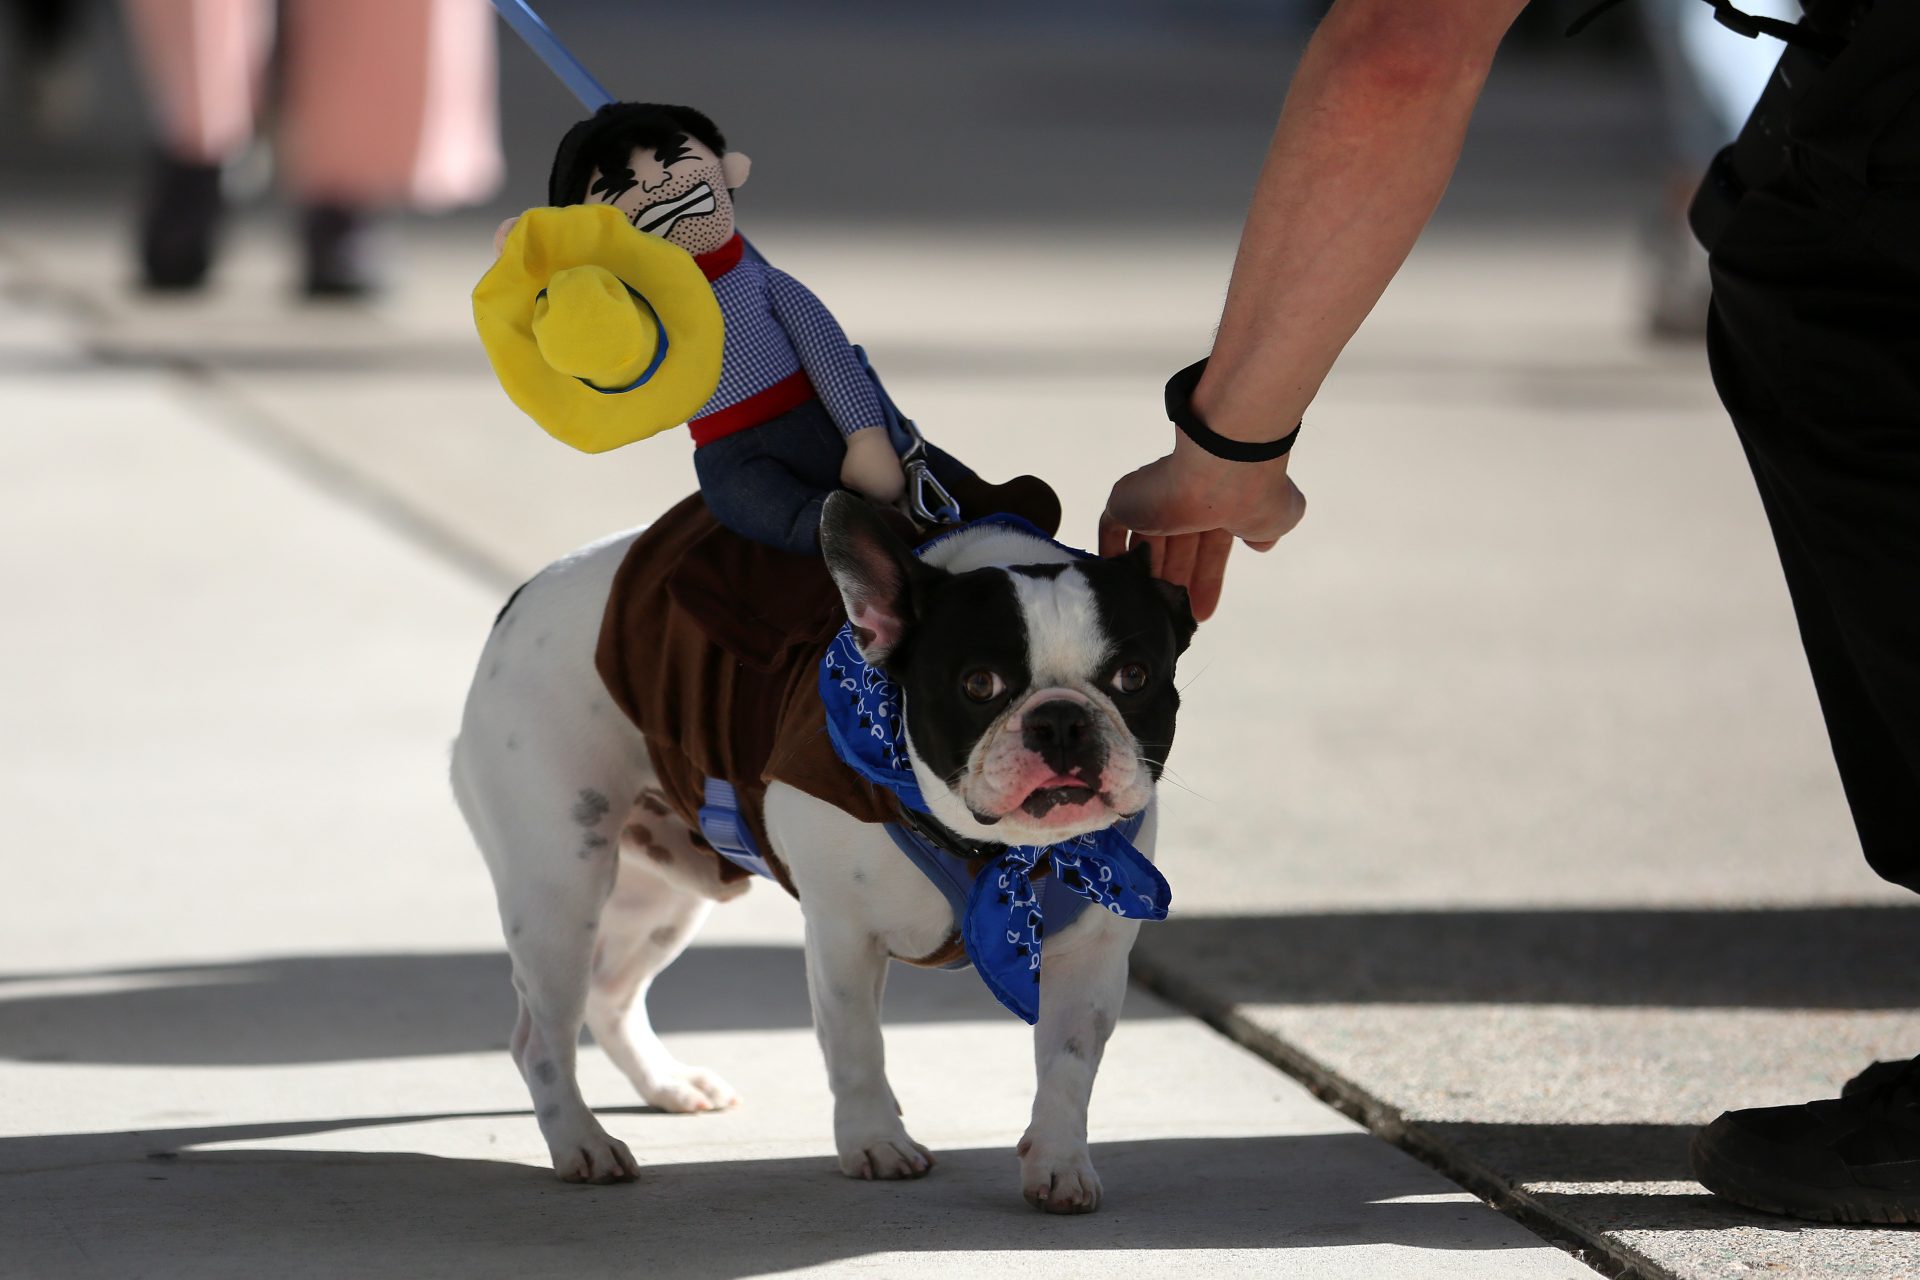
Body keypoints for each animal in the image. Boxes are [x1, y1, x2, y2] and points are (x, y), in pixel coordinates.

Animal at [451, 495, 1190, 1220]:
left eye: (1134, 676)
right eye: (979, 684)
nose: (1061, 720)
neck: (999, 852)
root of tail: (522, 598)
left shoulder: (1092, 955)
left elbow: (1069, 1065)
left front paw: (1061, 1164)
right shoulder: (842, 935)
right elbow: (857, 1042)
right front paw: (876, 1142)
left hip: (663, 901)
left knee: (610, 995)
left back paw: (667, 1084)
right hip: (561, 887)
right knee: (542, 1035)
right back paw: (581, 1141)